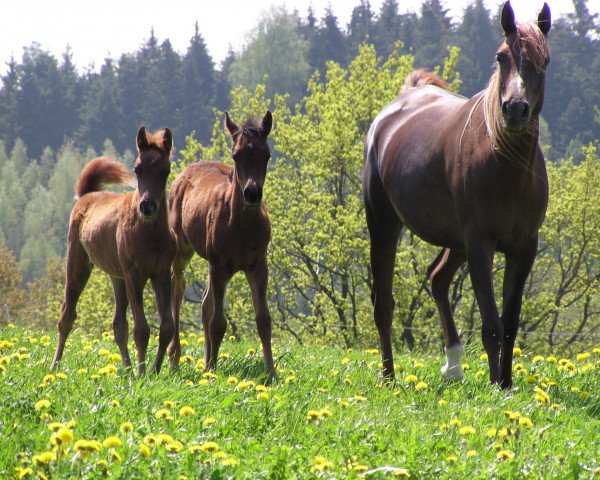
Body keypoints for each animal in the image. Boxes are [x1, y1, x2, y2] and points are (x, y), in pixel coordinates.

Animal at [51, 126, 176, 376]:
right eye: (137, 169)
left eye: (165, 170)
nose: (147, 206)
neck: (150, 235)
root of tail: (86, 196)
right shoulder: (134, 275)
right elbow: (142, 329)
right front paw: (142, 375)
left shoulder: (161, 274)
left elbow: (166, 326)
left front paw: (154, 371)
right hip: (78, 265)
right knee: (67, 315)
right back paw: (54, 366)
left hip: (116, 277)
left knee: (119, 325)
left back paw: (127, 369)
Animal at [364, 1, 552, 388]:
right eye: (501, 57)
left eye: (545, 60)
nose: (515, 109)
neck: (505, 164)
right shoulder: (480, 244)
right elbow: (491, 324)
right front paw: (495, 387)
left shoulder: (524, 248)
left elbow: (510, 323)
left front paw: (506, 384)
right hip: (384, 226)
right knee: (383, 304)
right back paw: (389, 376)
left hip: (457, 241)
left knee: (438, 279)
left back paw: (452, 364)